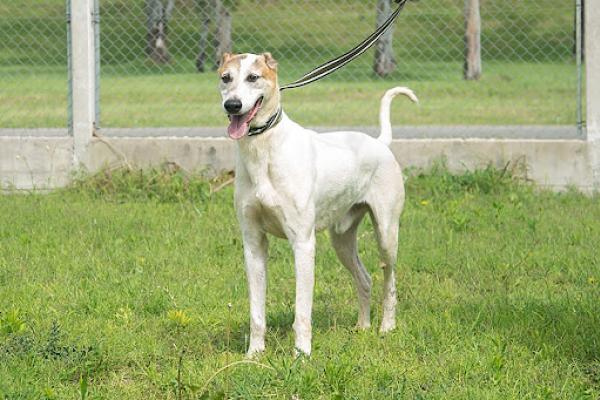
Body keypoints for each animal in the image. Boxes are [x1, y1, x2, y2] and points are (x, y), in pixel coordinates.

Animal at [218, 51, 420, 354]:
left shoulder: (303, 243)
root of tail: (380, 142)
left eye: (253, 77)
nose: (232, 105)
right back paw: (363, 326)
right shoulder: (253, 244)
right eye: (225, 77)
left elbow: (302, 311)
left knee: (389, 282)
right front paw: (254, 353)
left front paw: (301, 354)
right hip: (342, 241)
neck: (266, 148)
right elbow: (256, 312)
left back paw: (386, 326)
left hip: (386, 235)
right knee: (365, 278)